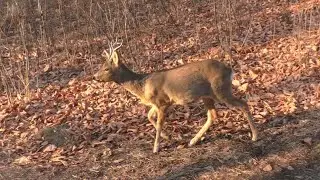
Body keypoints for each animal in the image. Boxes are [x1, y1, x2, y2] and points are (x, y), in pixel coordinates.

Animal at [94, 41, 258, 153]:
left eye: (106, 68)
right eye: (101, 66)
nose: (95, 77)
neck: (142, 85)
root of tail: (229, 70)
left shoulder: (163, 102)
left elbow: (159, 123)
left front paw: (156, 147)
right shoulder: (156, 104)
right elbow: (149, 116)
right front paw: (168, 137)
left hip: (220, 90)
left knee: (243, 104)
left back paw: (255, 136)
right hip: (207, 95)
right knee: (212, 115)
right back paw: (193, 141)